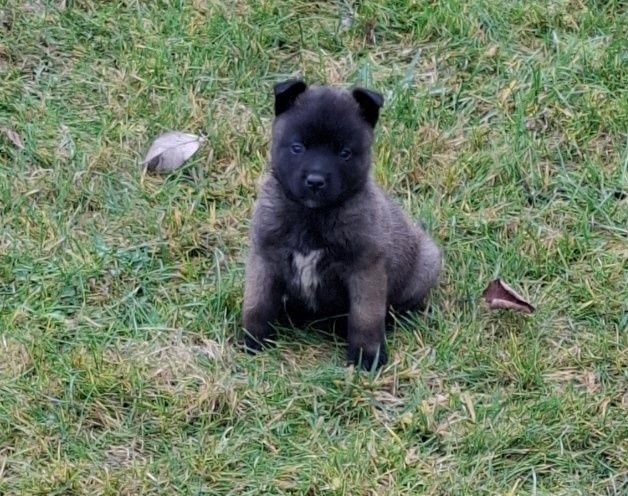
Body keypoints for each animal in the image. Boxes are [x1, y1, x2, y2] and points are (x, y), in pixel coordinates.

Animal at [242, 79, 442, 370]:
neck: (312, 216)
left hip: (427, 263)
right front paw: (252, 340)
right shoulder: (265, 259)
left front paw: (367, 356)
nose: (315, 181)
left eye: (345, 153)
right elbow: (257, 303)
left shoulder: (365, 271)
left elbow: (365, 318)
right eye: (297, 147)